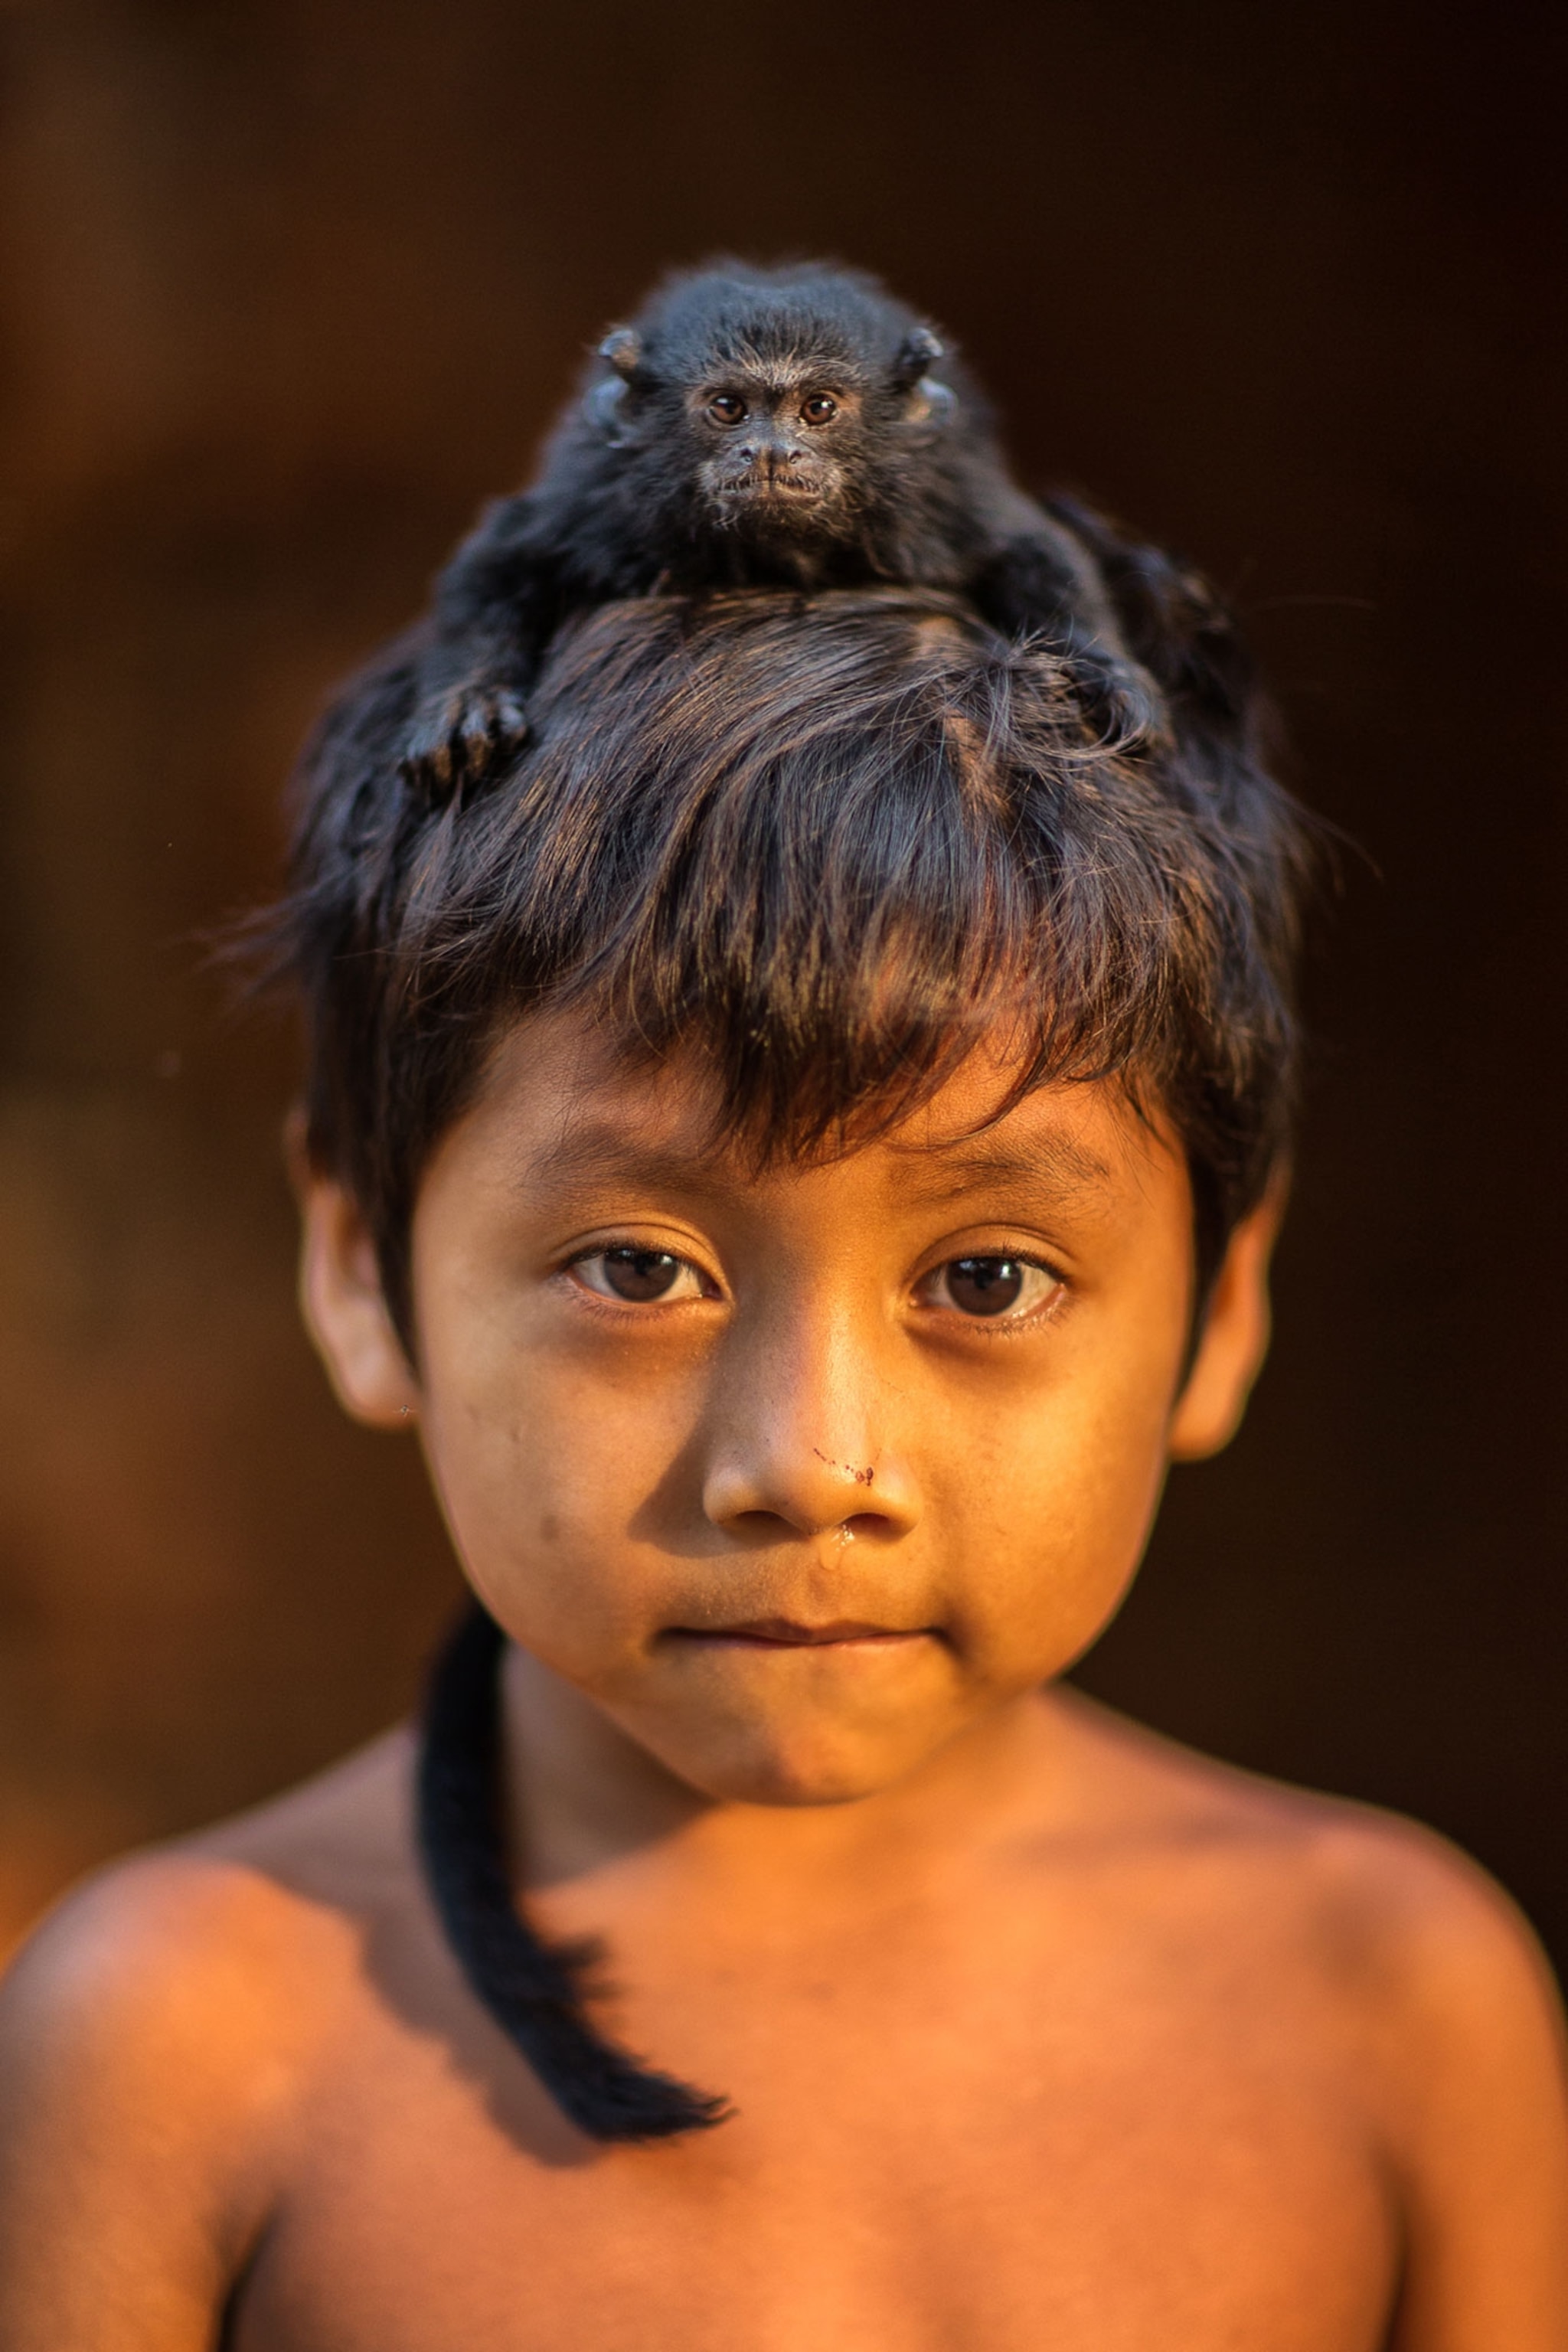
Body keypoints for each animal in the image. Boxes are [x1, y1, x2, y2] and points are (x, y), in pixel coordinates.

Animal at [400, 261, 1168, 792]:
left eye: (818, 407)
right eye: (729, 408)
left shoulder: (941, 497)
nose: (771, 452)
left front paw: (1109, 671)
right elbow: (502, 556)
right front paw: (464, 700)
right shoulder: (605, 499)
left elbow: (1033, 547)